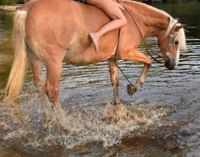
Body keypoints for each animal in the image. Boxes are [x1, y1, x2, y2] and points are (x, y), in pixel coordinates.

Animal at [3, 0, 187, 129]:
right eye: (176, 42)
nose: (172, 65)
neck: (134, 19)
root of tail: (28, 8)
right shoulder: (127, 52)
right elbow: (148, 62)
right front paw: (133, 88)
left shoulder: (112, 58)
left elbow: (115, 82)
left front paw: (119, 110)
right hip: (54, 62)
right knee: (52, 91)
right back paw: (64, 125)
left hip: (35, 60)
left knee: (39, 88)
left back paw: (48, 120)